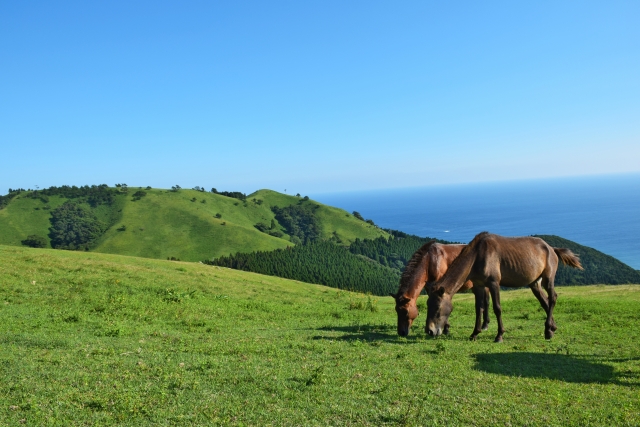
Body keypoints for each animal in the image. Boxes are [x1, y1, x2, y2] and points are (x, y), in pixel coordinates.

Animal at [428, 232, 584, 342]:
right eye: (428, 305)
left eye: (437, 308)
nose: (429, 331)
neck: (478, 255)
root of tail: (551, 248)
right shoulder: (478, 285)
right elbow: (479, 309)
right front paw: (474, 333)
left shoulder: (493, 283)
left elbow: (497, 308)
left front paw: (499, 335)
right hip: (535, 283)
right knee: (544, 301)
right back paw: (552, 327)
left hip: (548, 278)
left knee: (552, 298)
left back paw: (548, 331)